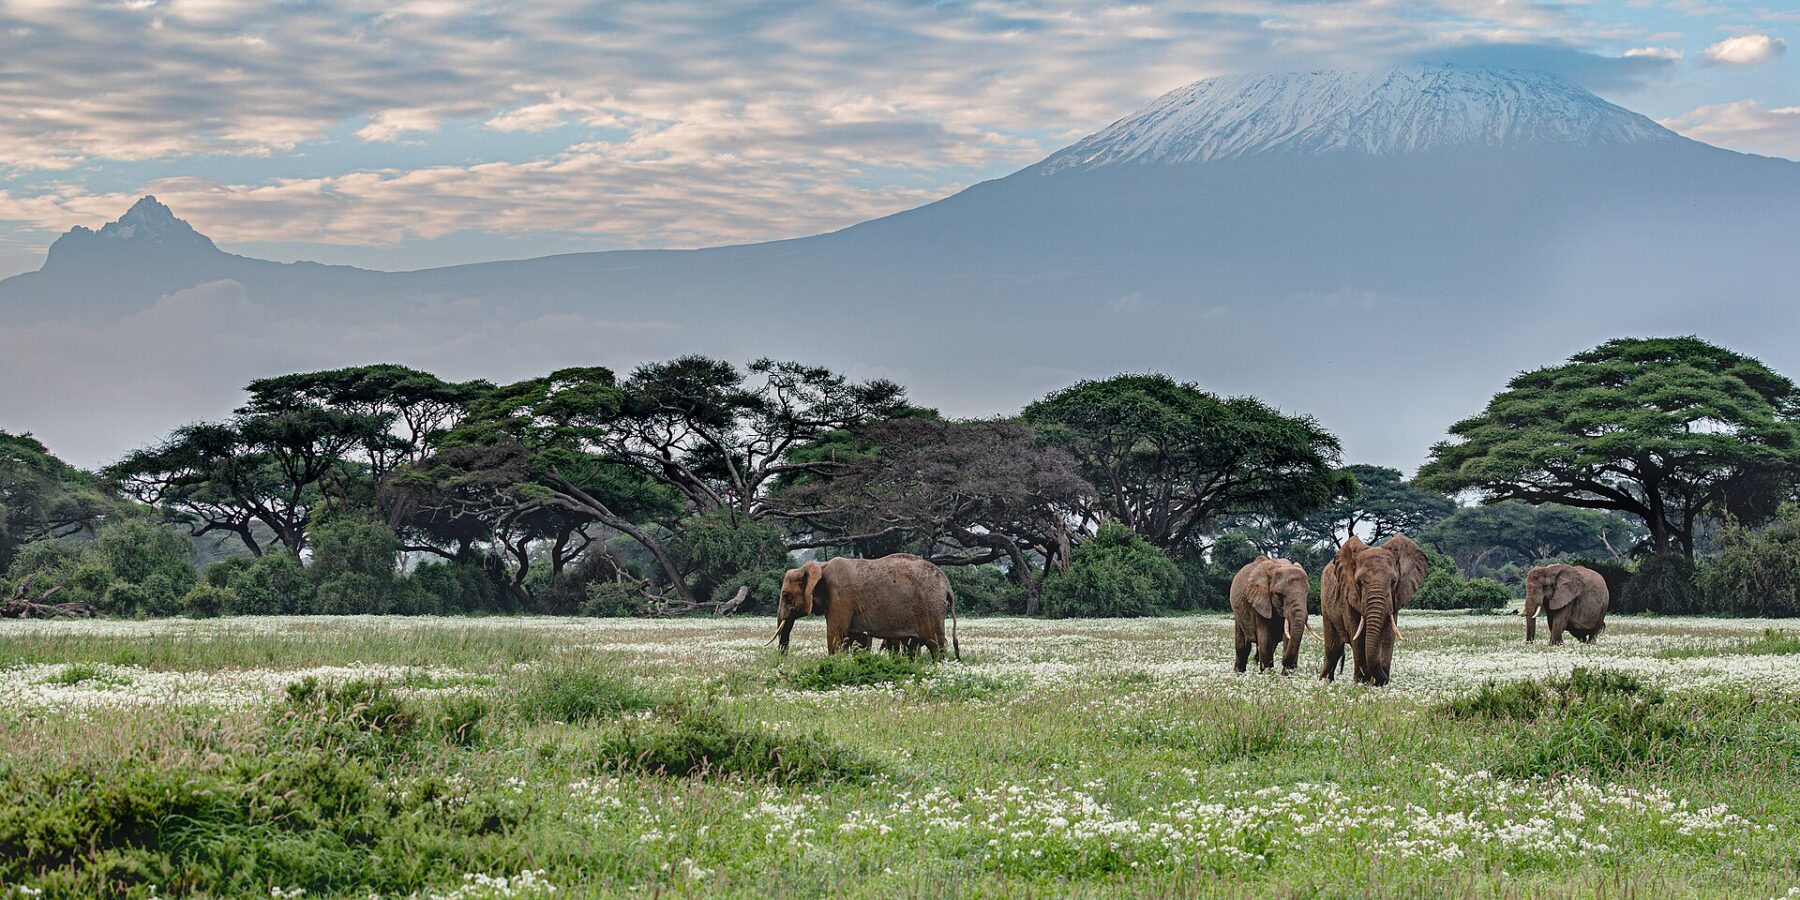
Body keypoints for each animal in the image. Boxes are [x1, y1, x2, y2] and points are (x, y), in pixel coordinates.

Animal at [773, 554, 960, 660]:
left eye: (785, 596)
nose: (783, 661)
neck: (820, 566)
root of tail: (947, 585)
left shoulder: (840, 598)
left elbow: (835, 635)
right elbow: (857, 639)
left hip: (930, 607)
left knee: (935, 644)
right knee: (913, 646)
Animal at [1318, 534, 1427, 686]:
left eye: (1393, 582)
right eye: (1359, 583)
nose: (1384, 678)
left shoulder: (1395, 599)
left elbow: (1388, 635)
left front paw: (1378, 683)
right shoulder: (1348, 595)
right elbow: (1357, 636)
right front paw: (1361, 682)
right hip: (1325, 603)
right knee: (1333, 648)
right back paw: (1324, 682)